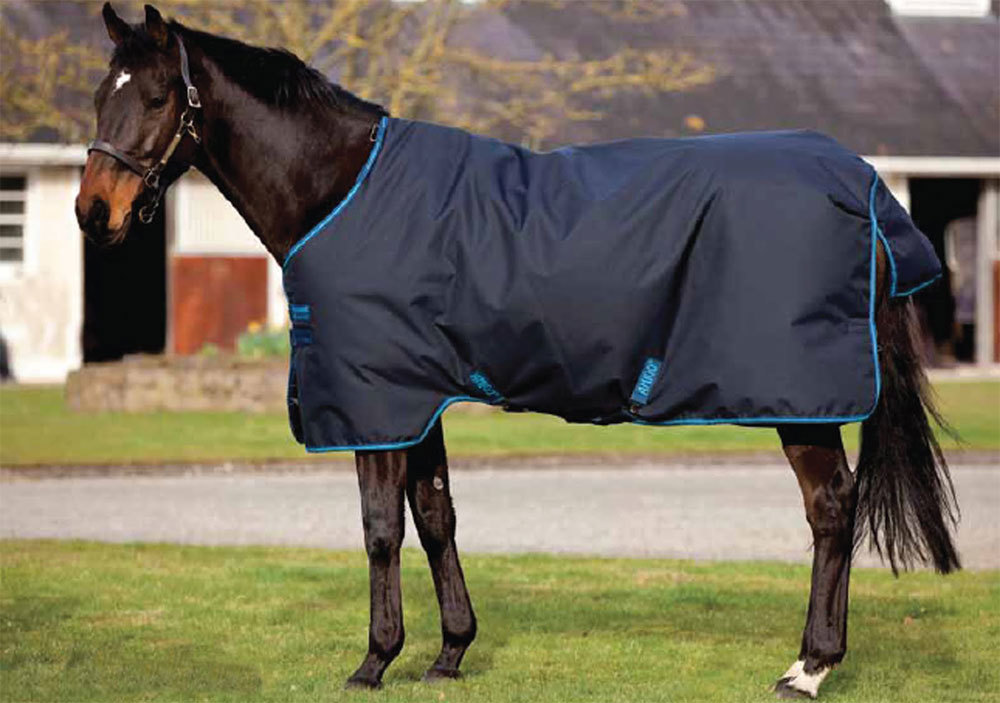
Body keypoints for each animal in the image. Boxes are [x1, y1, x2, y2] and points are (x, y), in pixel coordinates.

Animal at [75, 5, 960, 699]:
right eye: (96, 96)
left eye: (155, 96)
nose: (93, 211)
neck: (342, 188)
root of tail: (864, 184)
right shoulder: (415, 396)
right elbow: (435, 516)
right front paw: (449, 652)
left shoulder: (374, 398)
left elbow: (379, 528)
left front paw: (374, 660)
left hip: (799, 403)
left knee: (831, 509)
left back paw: (808, 666)